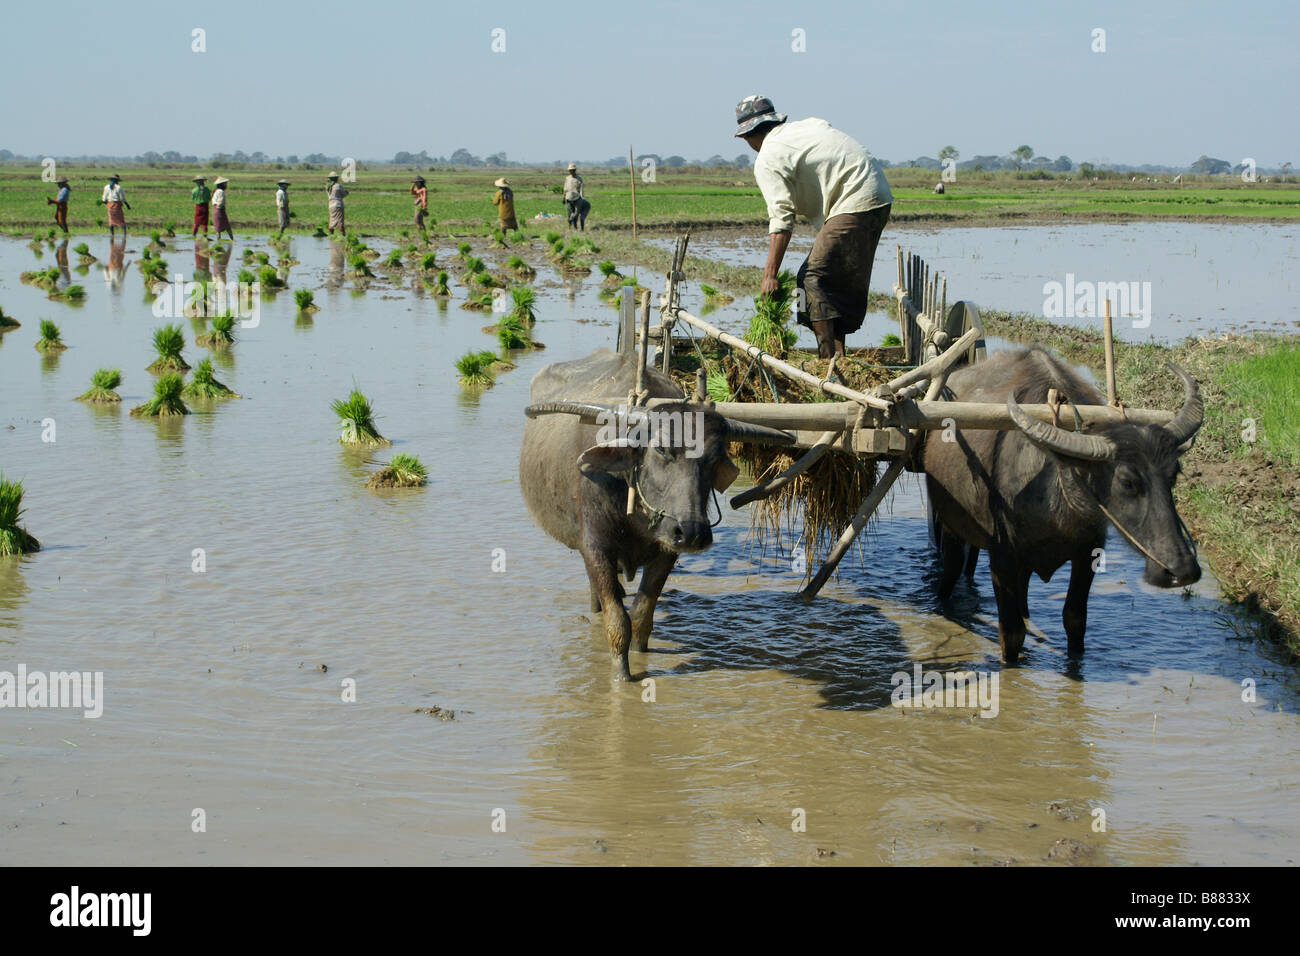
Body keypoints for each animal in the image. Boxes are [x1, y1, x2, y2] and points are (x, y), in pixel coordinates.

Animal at [521, 349, 794, 680]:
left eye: (715, 456)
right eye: (662, 449)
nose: (692, 532)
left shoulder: (667, 551)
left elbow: (641, 615)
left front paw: (640, 657)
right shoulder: (595, 546)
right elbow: (617, 620)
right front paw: (622, 676)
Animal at [924, 347, 1204, 663]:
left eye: (1174, 474)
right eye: (1128, 482)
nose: (1182, 570)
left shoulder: (1088, 552)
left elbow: (1074, 620)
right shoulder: (1002, 556)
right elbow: (1011, 632)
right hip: (951, 524)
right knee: (952, 568)